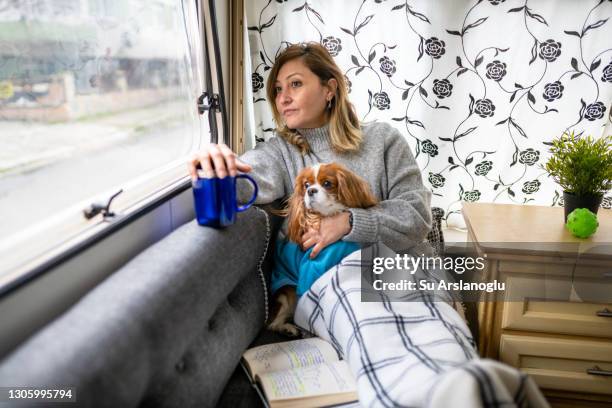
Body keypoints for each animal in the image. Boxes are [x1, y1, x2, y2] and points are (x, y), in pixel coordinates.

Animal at [268, 164, 378, 336]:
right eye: (306, 185)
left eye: (327, 183)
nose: (310, 190)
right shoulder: (311, 271)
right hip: (285, 295)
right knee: (273, 323)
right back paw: (288, 328)